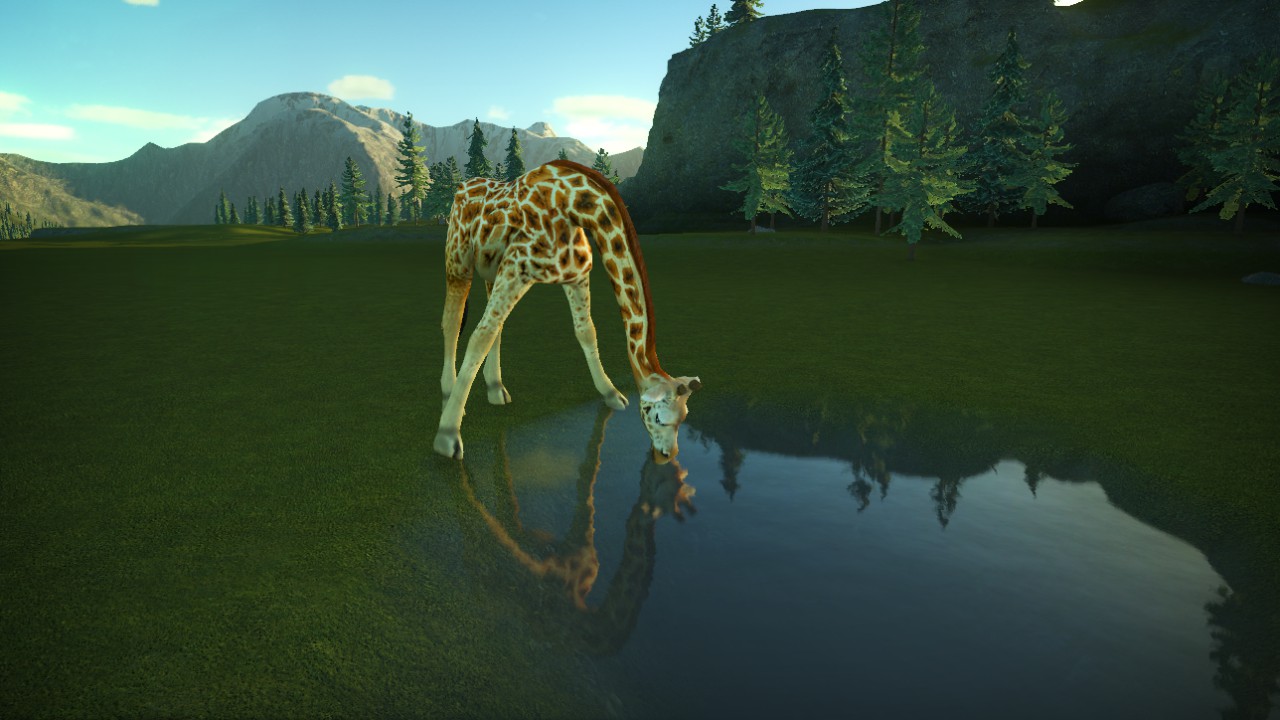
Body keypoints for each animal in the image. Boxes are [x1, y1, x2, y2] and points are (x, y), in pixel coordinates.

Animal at [435, 160, 701, 462]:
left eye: (683, 417)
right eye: (658, 417)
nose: (667, 455)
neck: (575, 207)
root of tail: (461, 187)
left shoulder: (576, 276)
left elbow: (586, 331)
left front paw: (612, 394)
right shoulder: (516, 268)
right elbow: (479, 337)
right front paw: (447, 436)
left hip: (491, 270)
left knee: (495, 326)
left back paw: (495, 389)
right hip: (458, 261)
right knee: (453, 320)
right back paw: (448, 395)